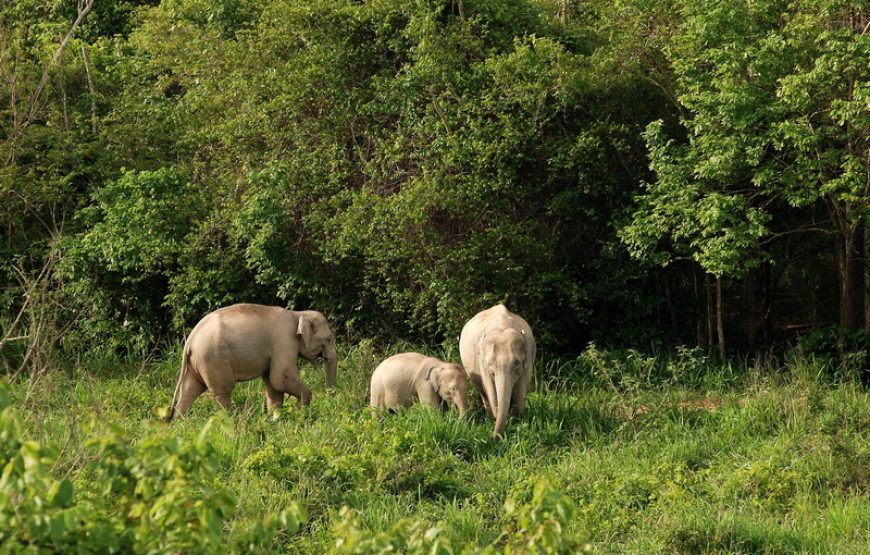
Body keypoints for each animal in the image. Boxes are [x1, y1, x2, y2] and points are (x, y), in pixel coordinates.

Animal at [165, 304, 338, 422]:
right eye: (329, 338)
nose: (330, 396)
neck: (298, 313)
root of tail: (190, 339)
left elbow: (273, 384)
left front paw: (275, 418)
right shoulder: (284, 342)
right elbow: (281, 378)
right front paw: (299, 409)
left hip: (196, 363)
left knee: (189, 391)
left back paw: (179, 425)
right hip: (212, 360)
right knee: (222, 392)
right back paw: (232, 421)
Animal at [460, 304, 536, 438]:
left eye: (517, 362)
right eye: (490, 364)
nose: (493, 438)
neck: (503, 325)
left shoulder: (528, 360)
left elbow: (520, 390)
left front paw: (516, 423)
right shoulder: (482, 363)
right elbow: (490, 389)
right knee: (483, 393)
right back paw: (490, 418)